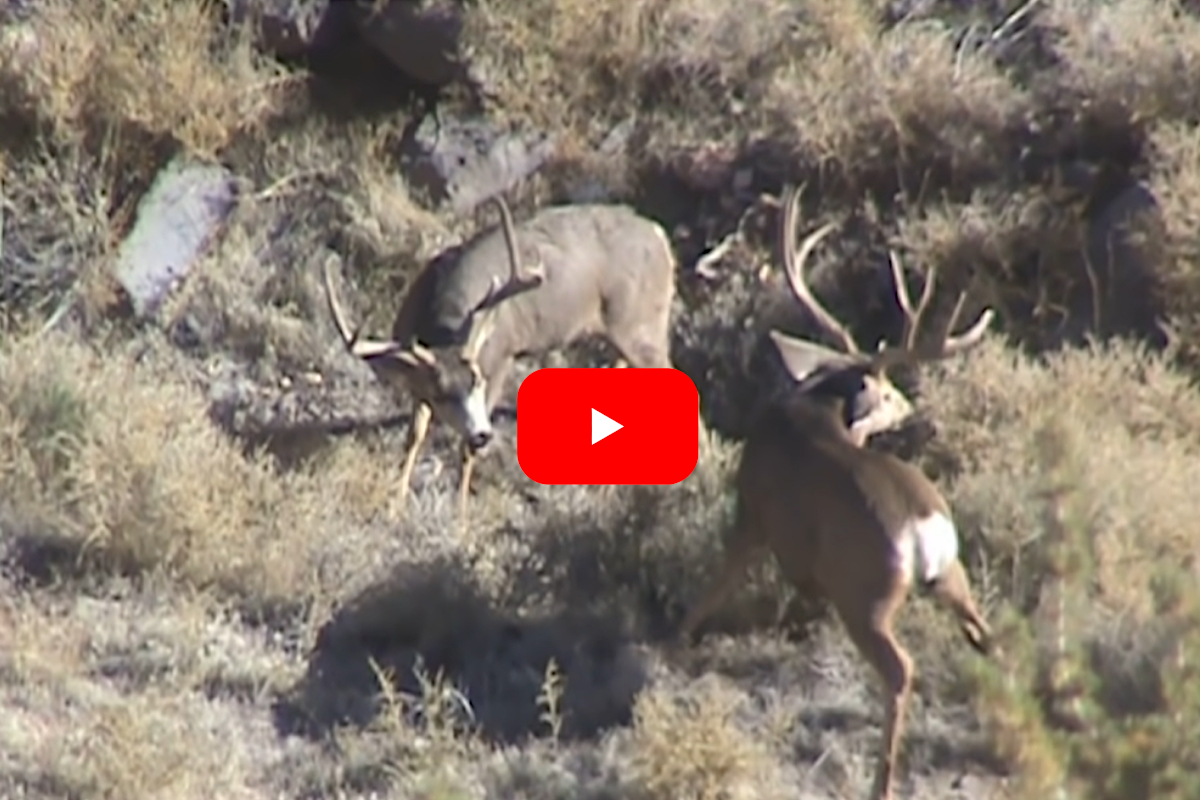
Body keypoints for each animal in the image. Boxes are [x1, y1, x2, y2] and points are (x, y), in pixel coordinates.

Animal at [322, 196, 688, 527]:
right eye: (441, 393)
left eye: (477, 380)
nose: (482, 434)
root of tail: (660, 236)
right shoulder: (417, 381)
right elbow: (414, 435)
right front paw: (395, 506)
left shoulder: (500, 358)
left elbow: (463, 451)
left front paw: (460, 518)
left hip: (641, 325)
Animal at [675, 185, 996, 800]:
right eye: (890, 394)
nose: (908, 405)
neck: (818, 405)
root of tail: (921, 527)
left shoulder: (752, 513)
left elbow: (717, 583)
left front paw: (677, 638)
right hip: (951, 573)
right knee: (985, 631)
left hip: (864, 593)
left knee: (901, 669)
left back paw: (882, 782)